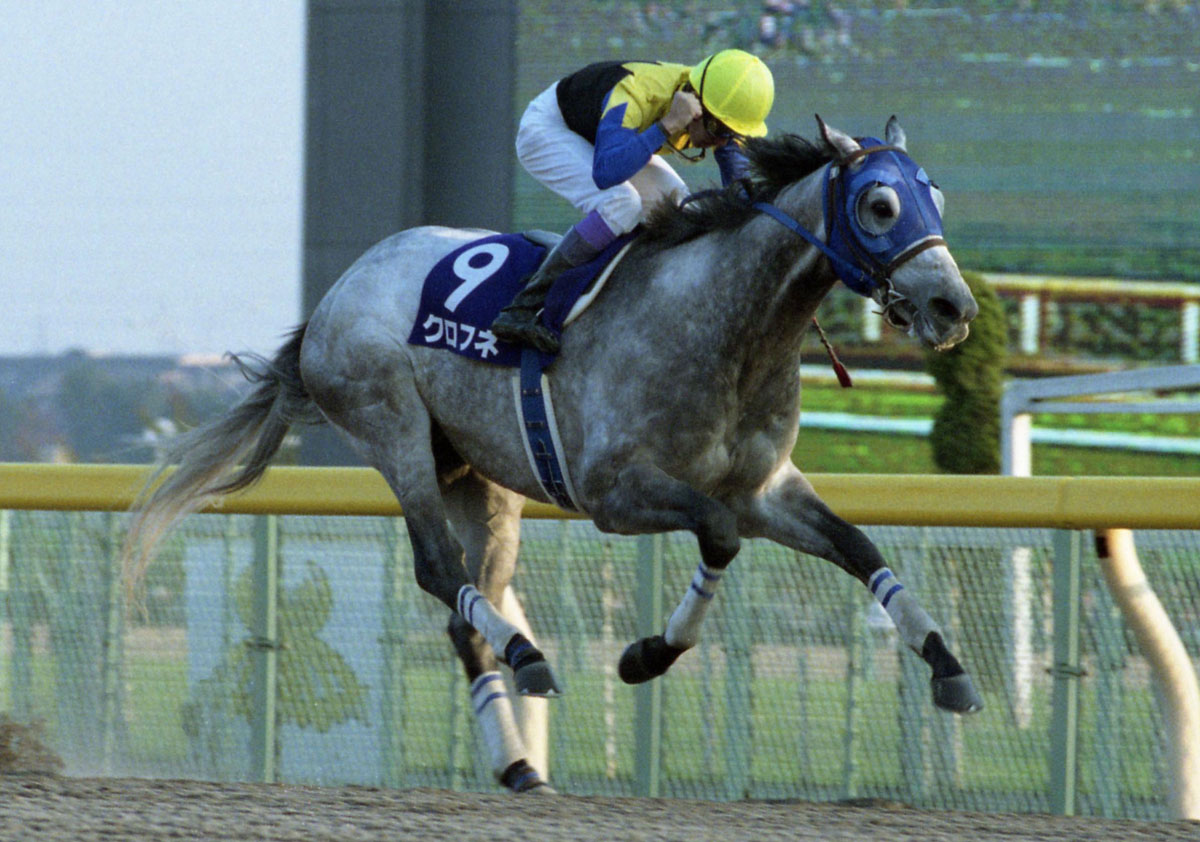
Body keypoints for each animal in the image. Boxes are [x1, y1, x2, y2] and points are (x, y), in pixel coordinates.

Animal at [124, 117, 983, 794]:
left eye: (937, 198)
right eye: (879, 204)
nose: (954, 307)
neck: (729, 329)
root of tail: (338, 291)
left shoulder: (764, 487)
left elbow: (858, 545)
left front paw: (948, 665)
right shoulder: (615, 492)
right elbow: (717, 535)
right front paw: (646, 656)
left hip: (479, 478)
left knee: (467, 606)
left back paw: (518, 762)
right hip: (392, 427)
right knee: (437, 567)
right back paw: (527, 656)